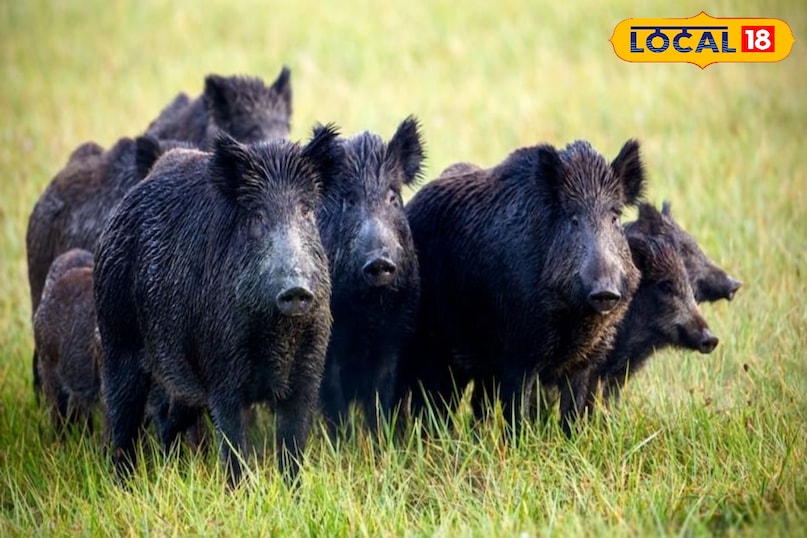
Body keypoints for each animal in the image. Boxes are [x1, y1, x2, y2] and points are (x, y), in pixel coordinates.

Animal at [94, 126, 341, 487]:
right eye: (257, 216)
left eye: (306, 211)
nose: (296, 289)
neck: (277, 333)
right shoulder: (222, 373)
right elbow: (235, 448)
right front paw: (239, 493)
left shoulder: (308, 372)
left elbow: (292, 449)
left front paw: (294, 493)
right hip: (117, 340)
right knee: (122, 423)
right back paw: (123, 485)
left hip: (180, 380)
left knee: (167, 420)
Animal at [317, 116, 424, 436]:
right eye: (349, 201)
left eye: (393, 197)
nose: (379, 261)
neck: (368, 314)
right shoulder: (329, 348)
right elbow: (335, 404)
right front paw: (343, 444)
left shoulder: (395, 338)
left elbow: (381, 399)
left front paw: (381, 443)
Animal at [398, 139, 645, 434]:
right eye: (573, 219)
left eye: (615, 217)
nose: (605, 291)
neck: (573, 316)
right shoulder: (518, 353)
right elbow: (516, 414)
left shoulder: (586, 361)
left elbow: (573, 414)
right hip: (431, 349)